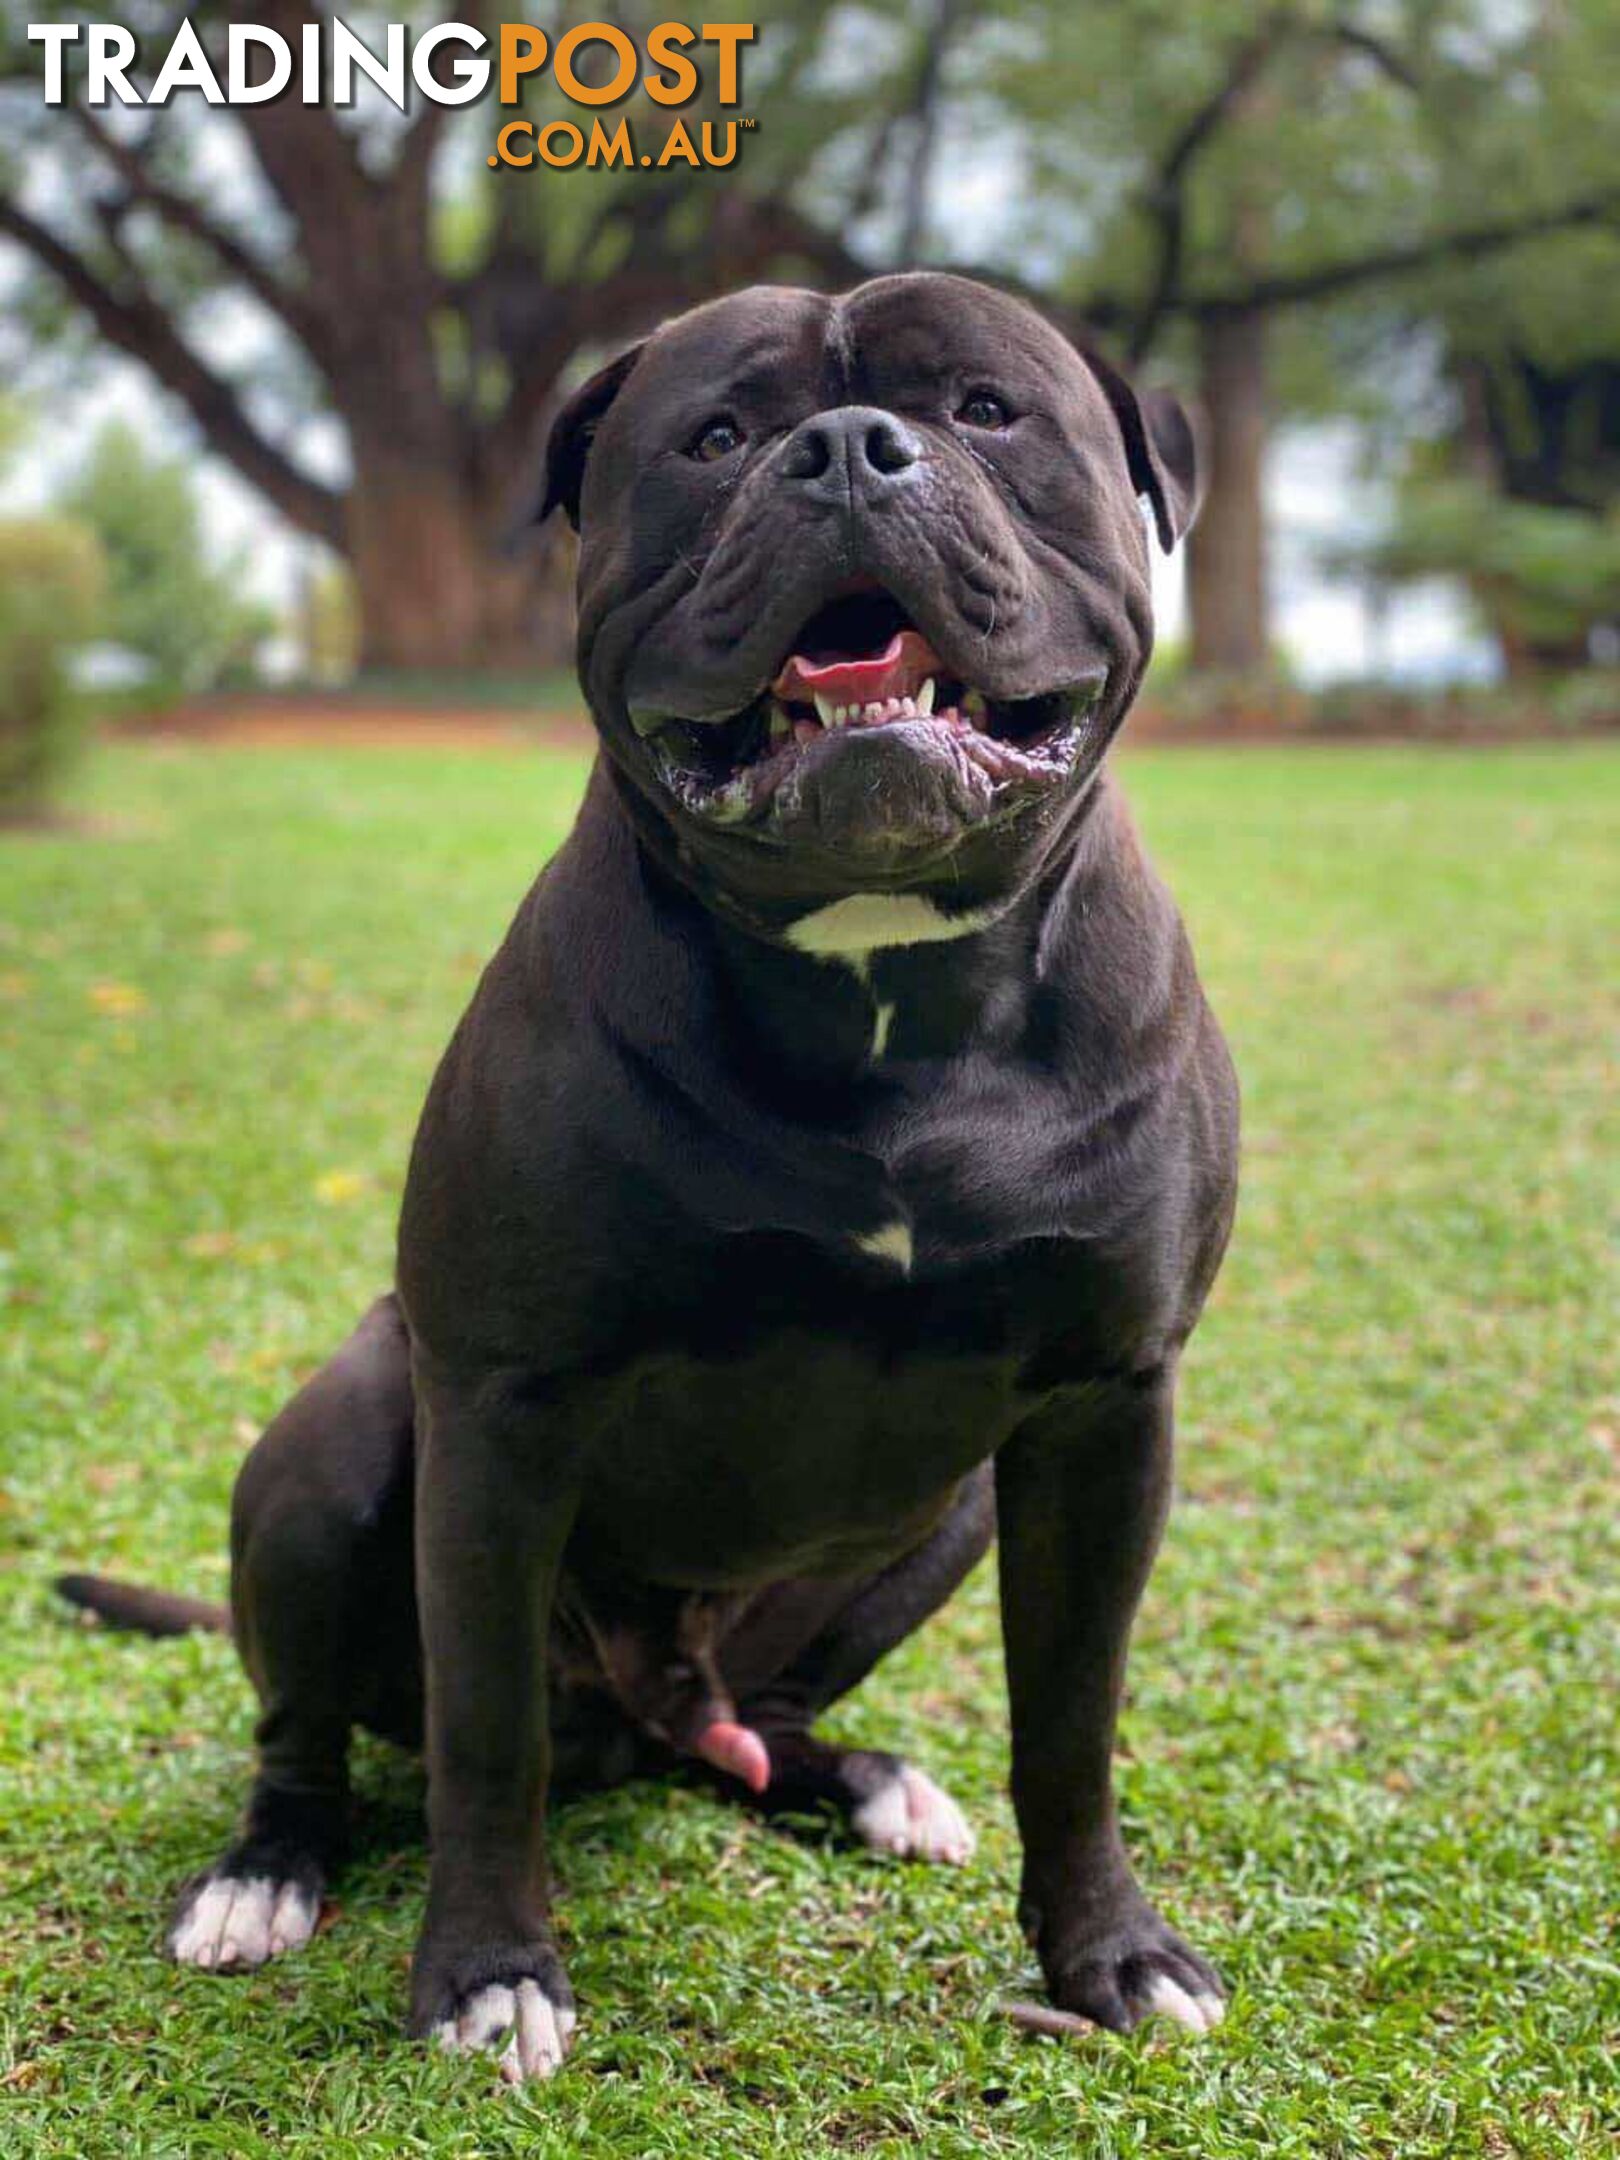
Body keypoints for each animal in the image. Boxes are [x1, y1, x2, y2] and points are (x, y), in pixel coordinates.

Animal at [57, 270, 1235, 2073]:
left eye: (985, 409)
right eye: (720, 436)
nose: (848, 447)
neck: (878, 976)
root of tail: (650, 1704)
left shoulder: (1108, 1412)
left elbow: (1073, 1718)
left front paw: (1110, 1954)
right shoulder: (502, 1405)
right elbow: (486, 1735)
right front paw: (488, 1974)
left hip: (947, 1510)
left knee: (757, 1722)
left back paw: (861, 1782)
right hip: (336, 1449)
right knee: (312, 1729)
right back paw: (264, 1876)